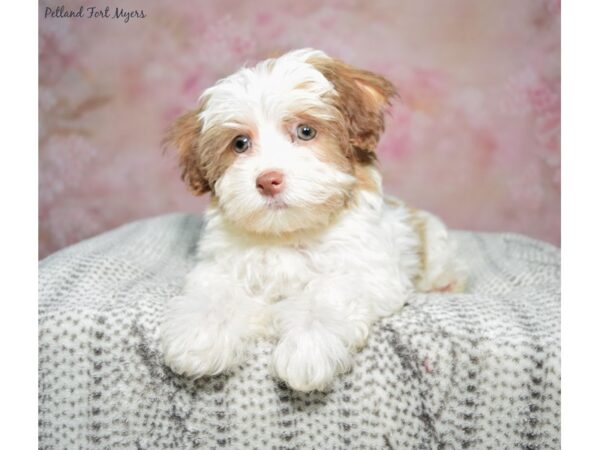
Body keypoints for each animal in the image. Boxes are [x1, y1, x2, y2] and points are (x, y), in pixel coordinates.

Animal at [158, 49, 464, 392]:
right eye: (240, 143)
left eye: (306, 131)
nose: (268, 180)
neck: (289, 234)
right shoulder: (220, 264)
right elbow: (216, 291)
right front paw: (200, 335)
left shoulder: (369, 271)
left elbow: (327, 292)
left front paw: (308, 346)